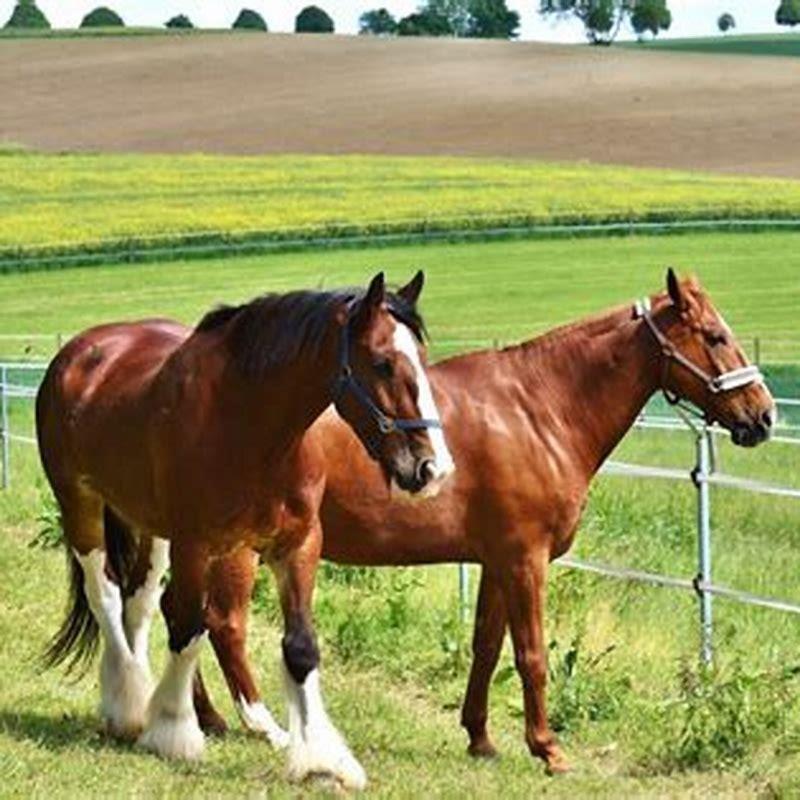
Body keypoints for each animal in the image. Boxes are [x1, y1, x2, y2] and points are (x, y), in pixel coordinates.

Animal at [36, 271, 455, 790]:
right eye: (382, 363)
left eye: (423, 360)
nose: (431, 469)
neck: (251, 425)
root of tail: (78, 352)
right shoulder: (196, 544)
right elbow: (189, 627)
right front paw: (173, 731)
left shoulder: (297, 545)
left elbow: (300, 648)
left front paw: (321, 759)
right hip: (82, 507)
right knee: (108, 597)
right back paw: (129, 706)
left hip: (151, 528)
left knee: (140, 603)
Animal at [189, 269, 775, 774]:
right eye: (715, 336)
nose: (765, 415)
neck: (537, 410)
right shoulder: (525, 560)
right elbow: (531, 654)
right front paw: (548, 749)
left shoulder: (497, 561)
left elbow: (487, 646)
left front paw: (481, 738)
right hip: (238, 547)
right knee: (224, 624)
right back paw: (257, 725)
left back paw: (207, 718)